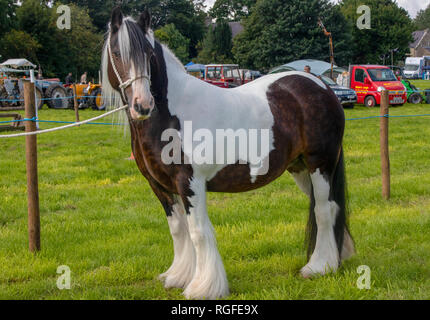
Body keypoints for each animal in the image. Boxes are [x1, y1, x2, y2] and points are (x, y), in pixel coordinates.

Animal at [101, 6, 356, 300]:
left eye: (149, 55)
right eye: (116, 53)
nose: (142, 105)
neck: (169, 116)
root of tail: (323, 87)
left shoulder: (190, 183)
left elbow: (198, 232)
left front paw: (203, 287)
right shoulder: (159, 185)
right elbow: (178, 230)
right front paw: (177, 276)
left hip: (320, 164)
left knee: (324, 210)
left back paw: (319, 266)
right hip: (301, 168)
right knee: (332, 208)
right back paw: (338, 256)